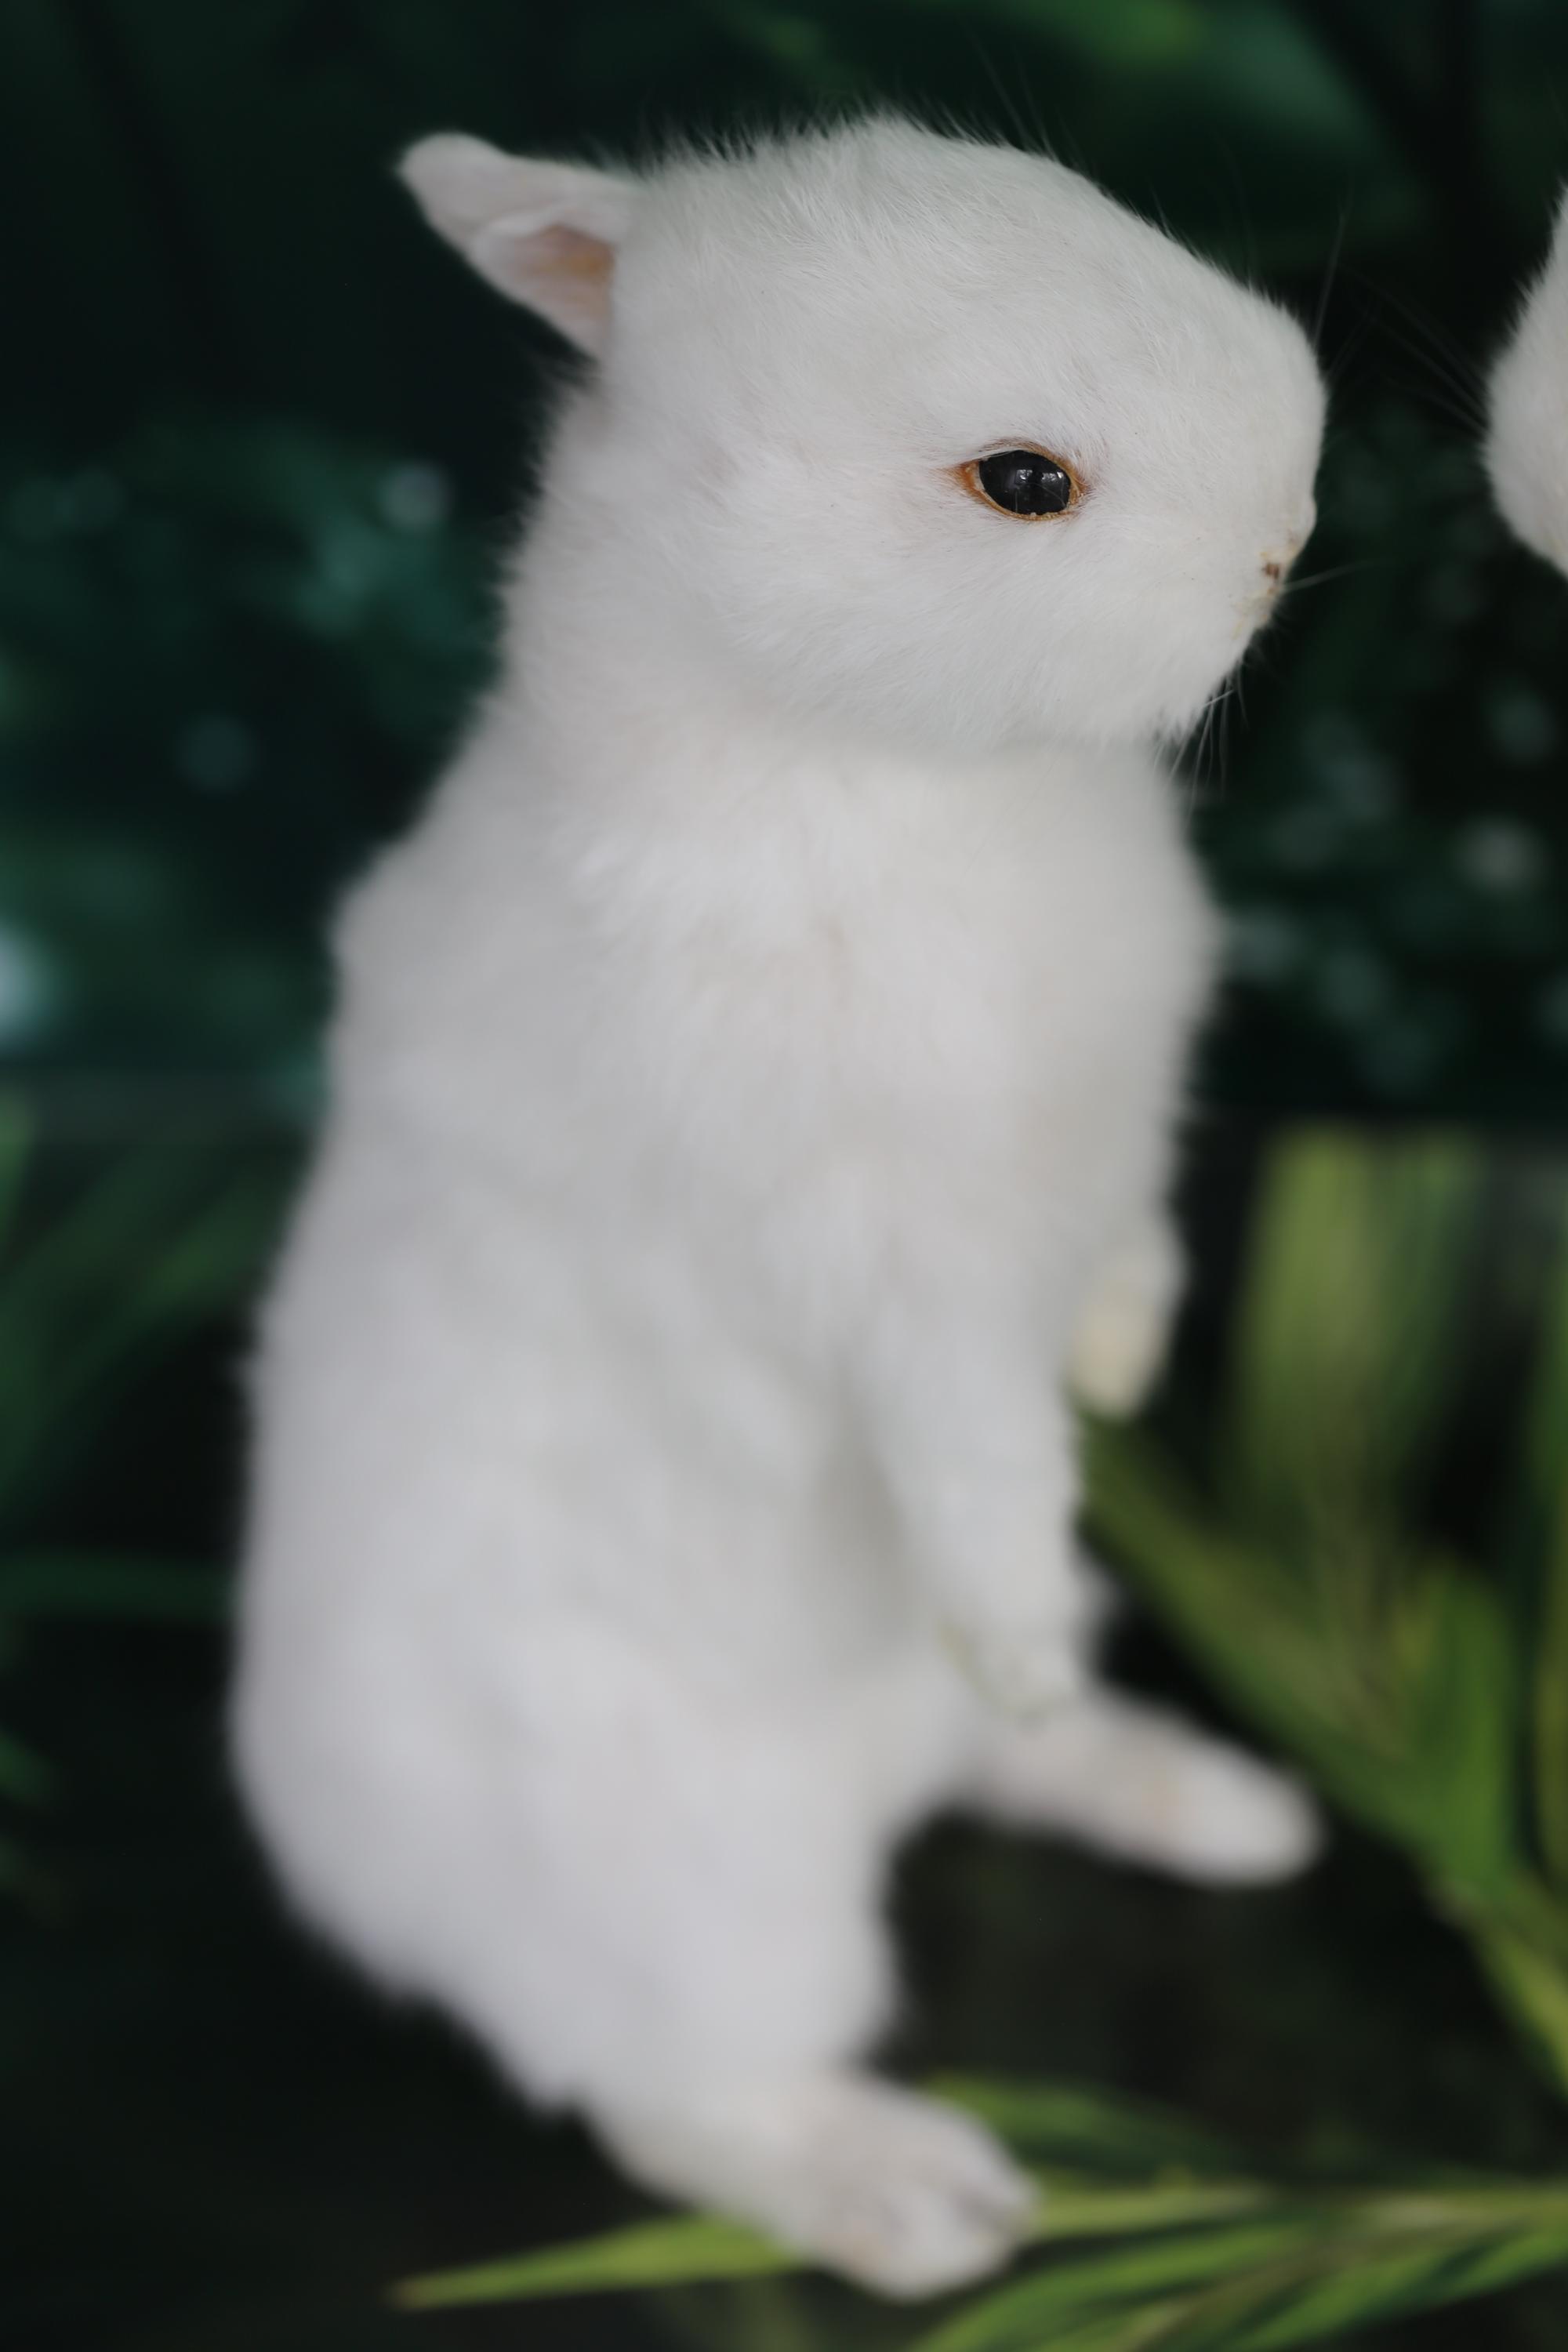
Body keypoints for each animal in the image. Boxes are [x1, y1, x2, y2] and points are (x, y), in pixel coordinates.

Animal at [232, 118, 1324, 2298]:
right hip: (703, 1916)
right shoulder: (901, 1290)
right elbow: (979, 1469)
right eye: (1020, 481)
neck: (890, 772)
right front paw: (1017, 1623)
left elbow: (1127, 1265)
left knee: (985, 1769)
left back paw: (1206, 1799)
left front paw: (1122, 1361)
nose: (1285, 530)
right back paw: (915, 2199)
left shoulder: (1102, 1170)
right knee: (671, 2094)